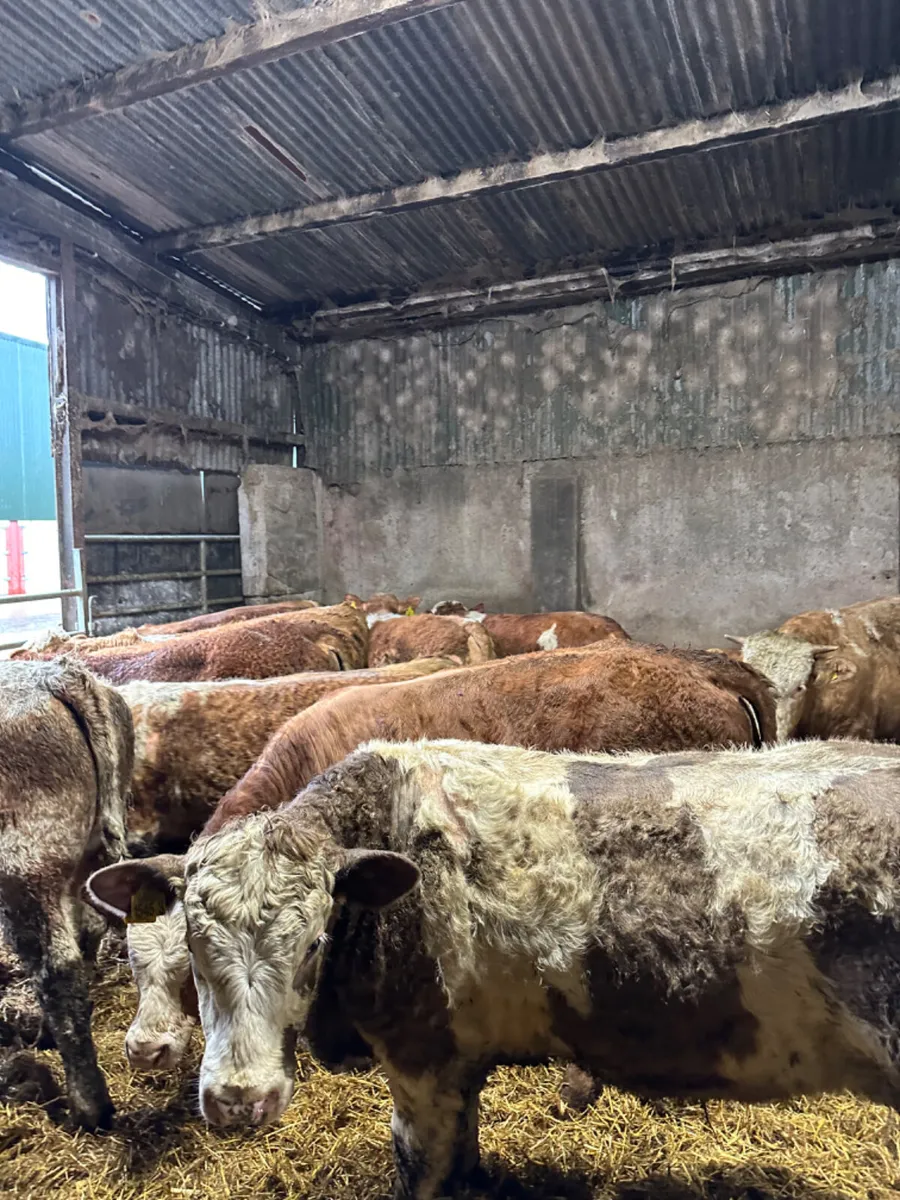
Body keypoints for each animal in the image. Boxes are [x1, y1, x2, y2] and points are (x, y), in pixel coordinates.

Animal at [0, 658, 134, 1130]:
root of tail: (57, 674)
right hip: (87, 855)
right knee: (85, 931)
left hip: (25, 869)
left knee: (57, 970)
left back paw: (90, 1107)